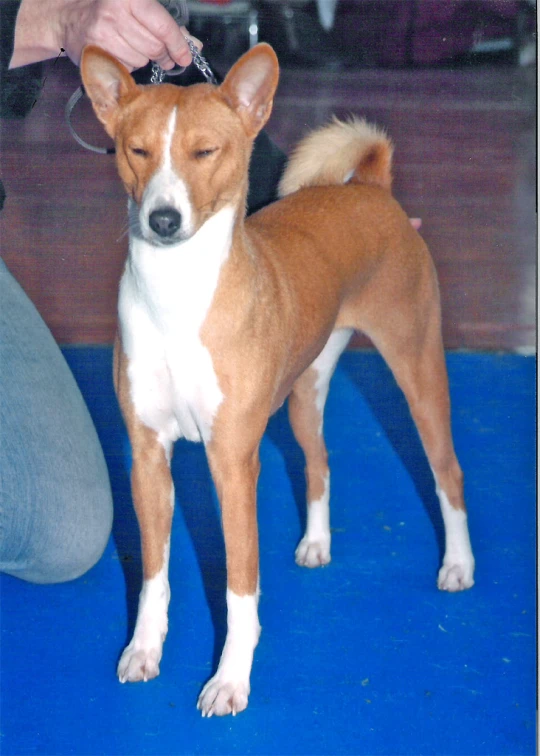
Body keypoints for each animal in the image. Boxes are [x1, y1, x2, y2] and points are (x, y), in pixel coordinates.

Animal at [81, 41, 476, 716]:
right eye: (137, 151)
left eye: (205, 152)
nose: (163, 219)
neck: (177, 302)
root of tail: (371, 188)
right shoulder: (148, 455)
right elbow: (155, 576)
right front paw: (143, 651)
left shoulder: (234, 462)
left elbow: (239, 588)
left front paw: (229, 680)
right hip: (304, 393)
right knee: (318, 460)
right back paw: (316, 544)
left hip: (418, 371)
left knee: (447, 473)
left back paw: (457, 566)